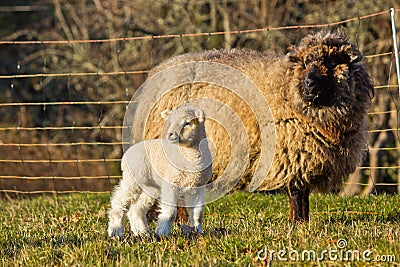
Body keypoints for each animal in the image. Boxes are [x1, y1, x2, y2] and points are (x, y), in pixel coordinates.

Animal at [108, 107, 211, 239]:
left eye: (187, 123)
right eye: (171, 121)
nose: (170, 134)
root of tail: (128, 152)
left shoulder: (198, 186)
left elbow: (198, 213)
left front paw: (198, 232)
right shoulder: (171, 183)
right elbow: (170, 212)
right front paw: (162, 233)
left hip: (150, 187)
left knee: (137, 208)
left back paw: (142, 232)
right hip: (132, 179)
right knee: (119, 202)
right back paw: (116, 232)